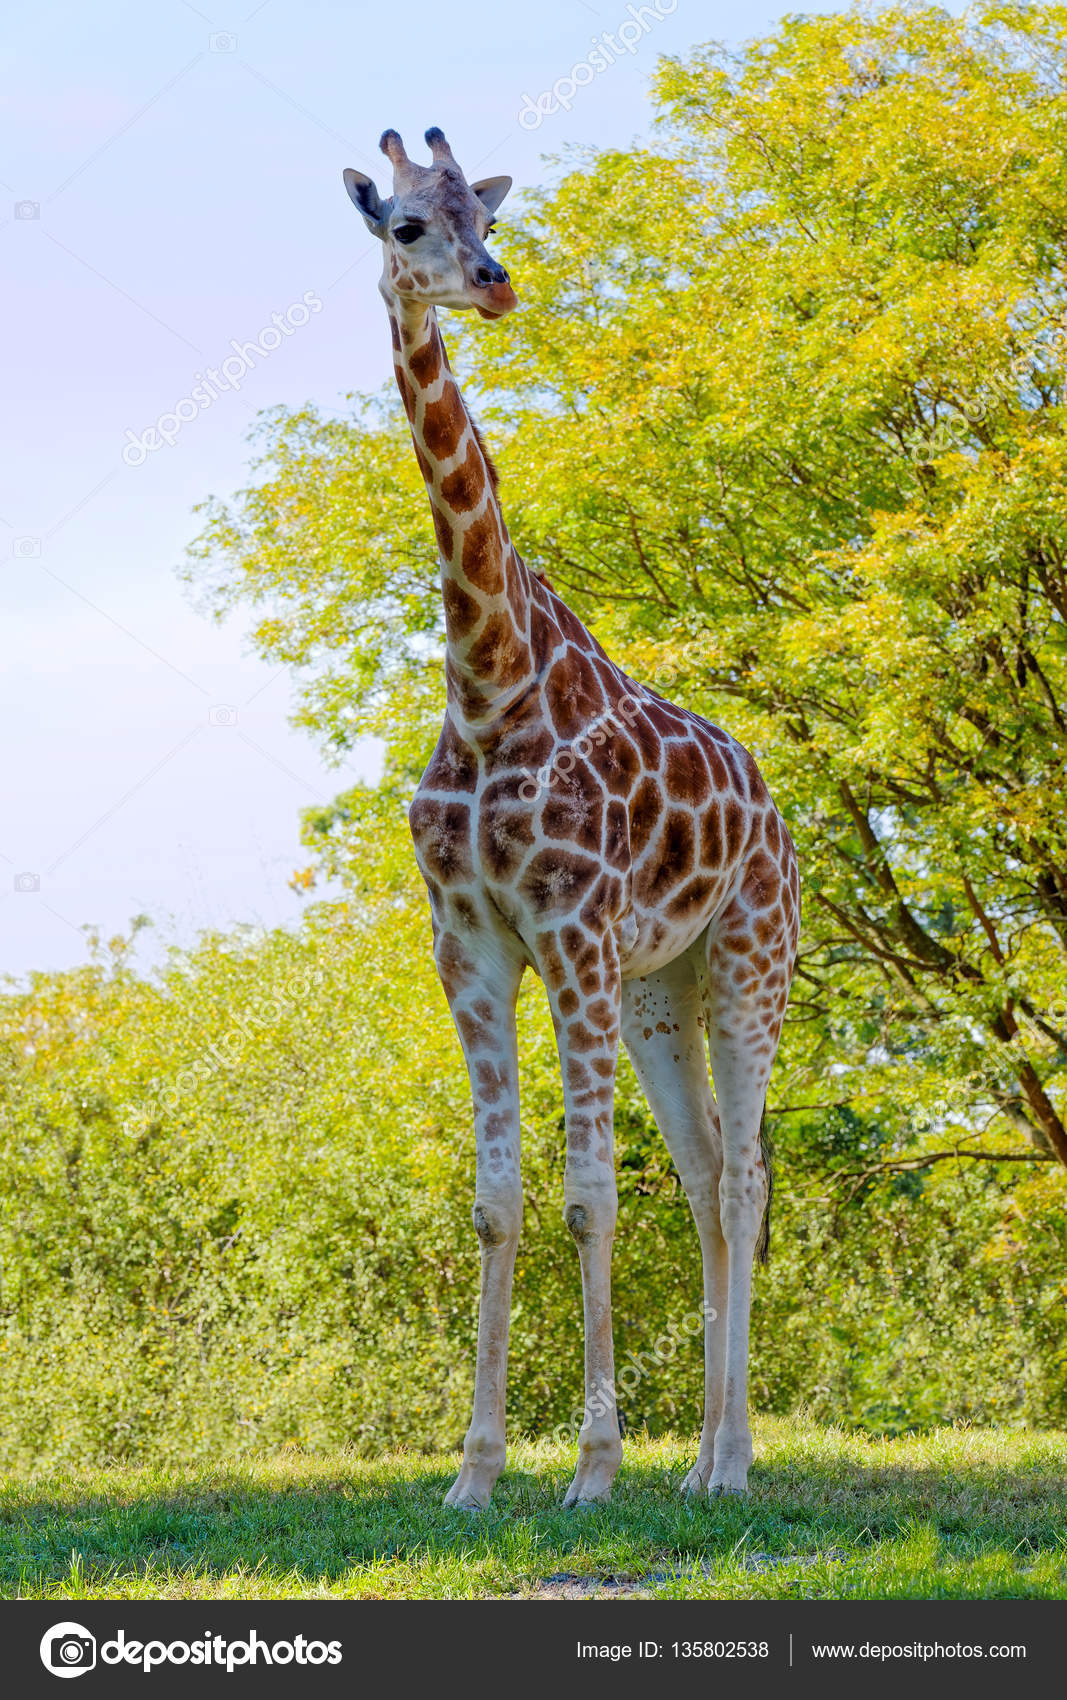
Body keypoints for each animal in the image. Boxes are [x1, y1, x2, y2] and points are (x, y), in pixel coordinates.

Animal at [343, 128, 800, 1508]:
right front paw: (474, 1474)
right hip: (665, 986)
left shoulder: (573, 938)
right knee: (702, 1172)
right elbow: (496, 1200)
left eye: (485, 217)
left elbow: (589, 1195)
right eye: (404, 226)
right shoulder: (473, 946)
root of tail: (777, 816)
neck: (488, 684)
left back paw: (731, 1465)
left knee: (744, 1175)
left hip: (749, 960)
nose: (492, 284)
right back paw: (701, 1458)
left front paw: (592, 1468)